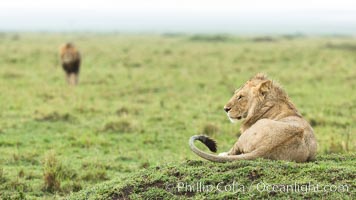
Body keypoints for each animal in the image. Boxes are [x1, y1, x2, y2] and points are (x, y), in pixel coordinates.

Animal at [189, 73, 318, 162]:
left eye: (240, 97)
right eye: (236, 94)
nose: (225, 109)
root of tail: (266, 146)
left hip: (244, 136)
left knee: (234, 151)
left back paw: (223, 154)